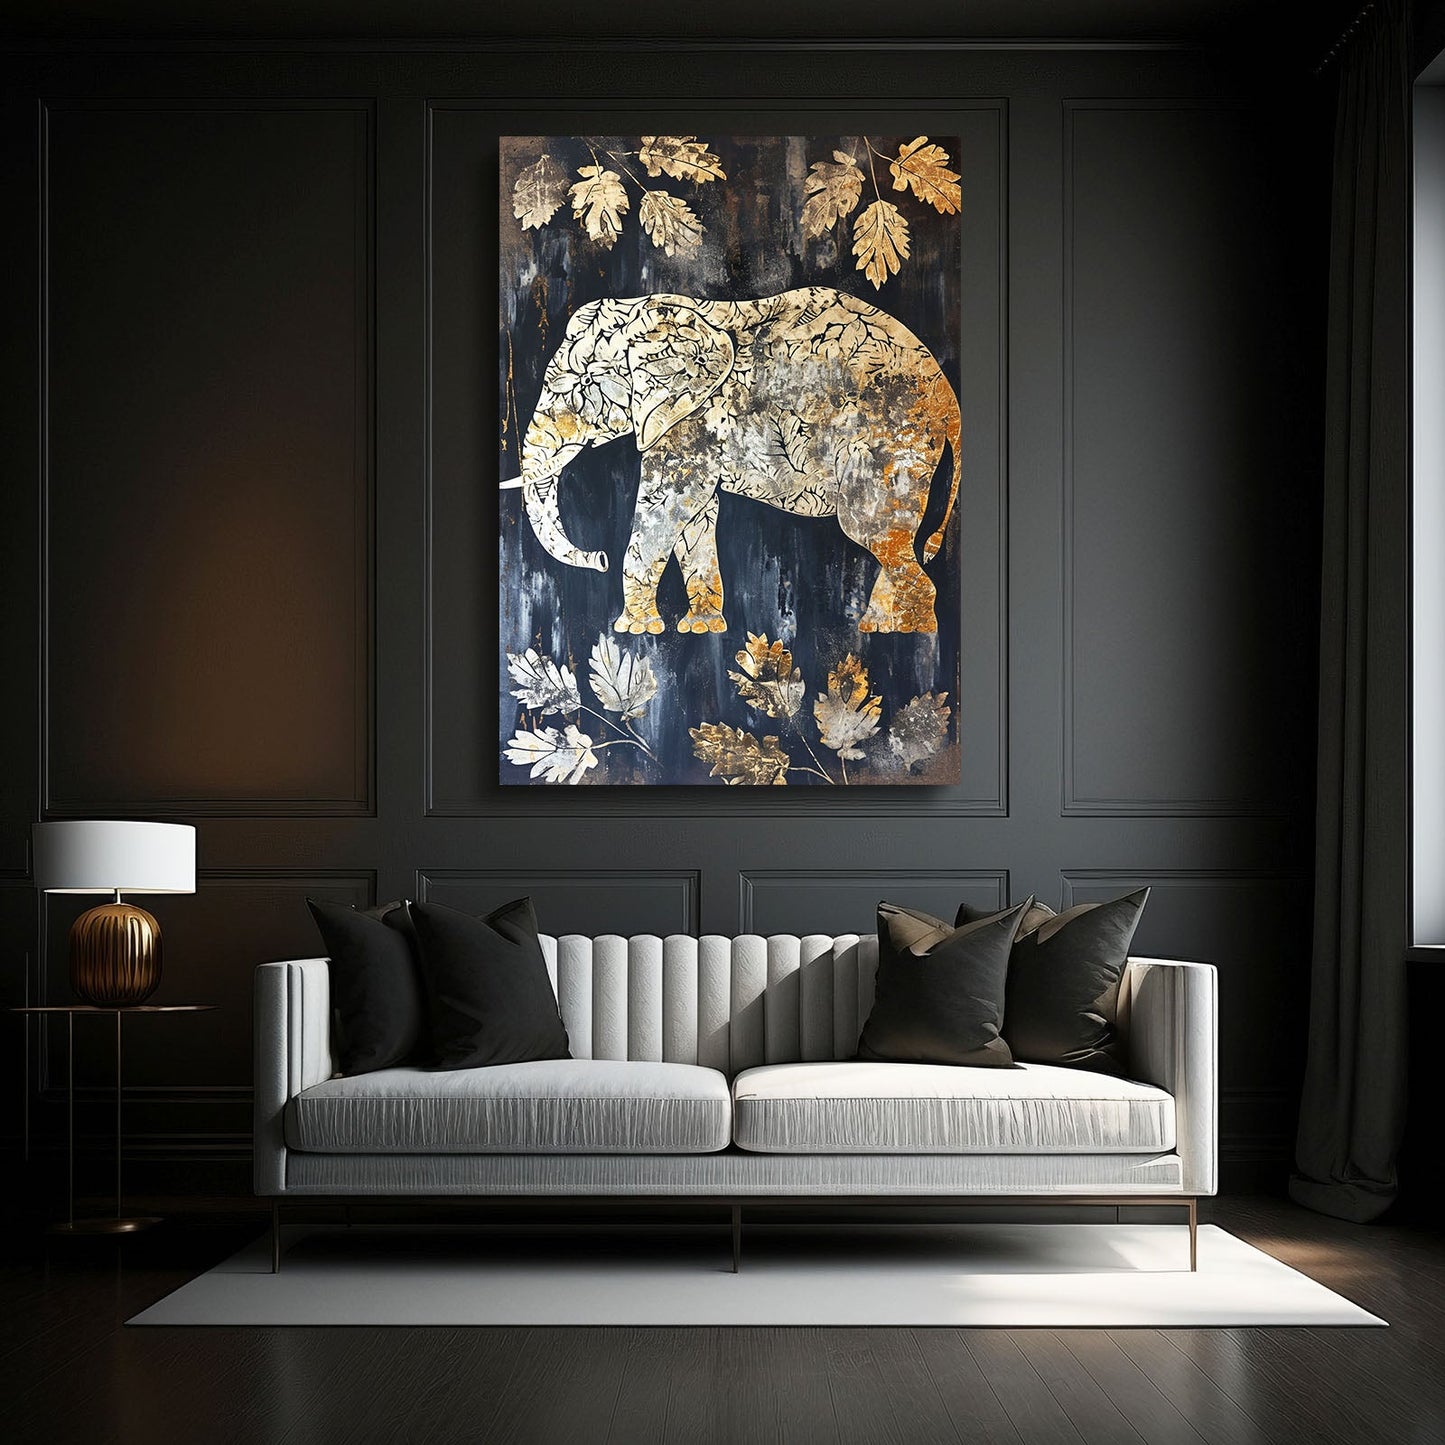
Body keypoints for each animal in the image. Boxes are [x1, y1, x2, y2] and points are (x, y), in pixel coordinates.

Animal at [500, 285, 961, 635]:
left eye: (587, 383)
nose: (599, 557)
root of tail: (948, 399)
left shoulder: (692, 419)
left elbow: (666, 507)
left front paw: (634, 630)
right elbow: (696, 517)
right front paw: (701, 629)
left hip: (889, 440)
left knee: (867, 527)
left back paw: (915, 630)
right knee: (891, 539)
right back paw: (882, 625)